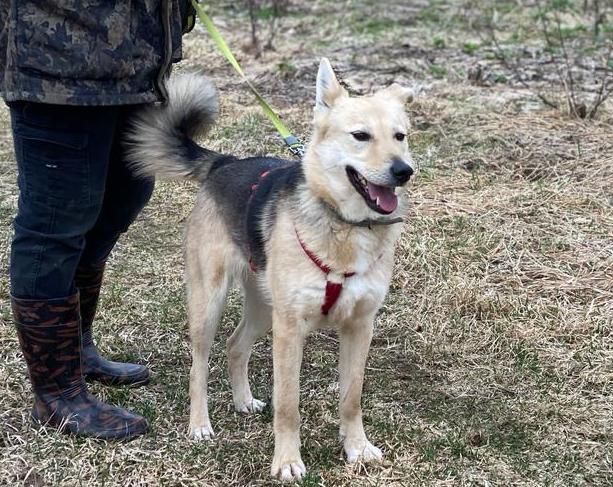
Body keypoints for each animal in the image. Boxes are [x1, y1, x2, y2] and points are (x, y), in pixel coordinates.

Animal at [128, 59, 416, 482]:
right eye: (360, 136)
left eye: (400, 136)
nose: (403, 171)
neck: (345, 226)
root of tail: (225, 163)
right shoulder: (290, 330)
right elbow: (288, 405)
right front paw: (287, 461)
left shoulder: (359, 325)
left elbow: (351, 397)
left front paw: (357, 448)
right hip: (210, 303)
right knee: (199, 365)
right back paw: (200, 423)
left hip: (264, 308)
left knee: (235, 345)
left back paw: (243, 400)